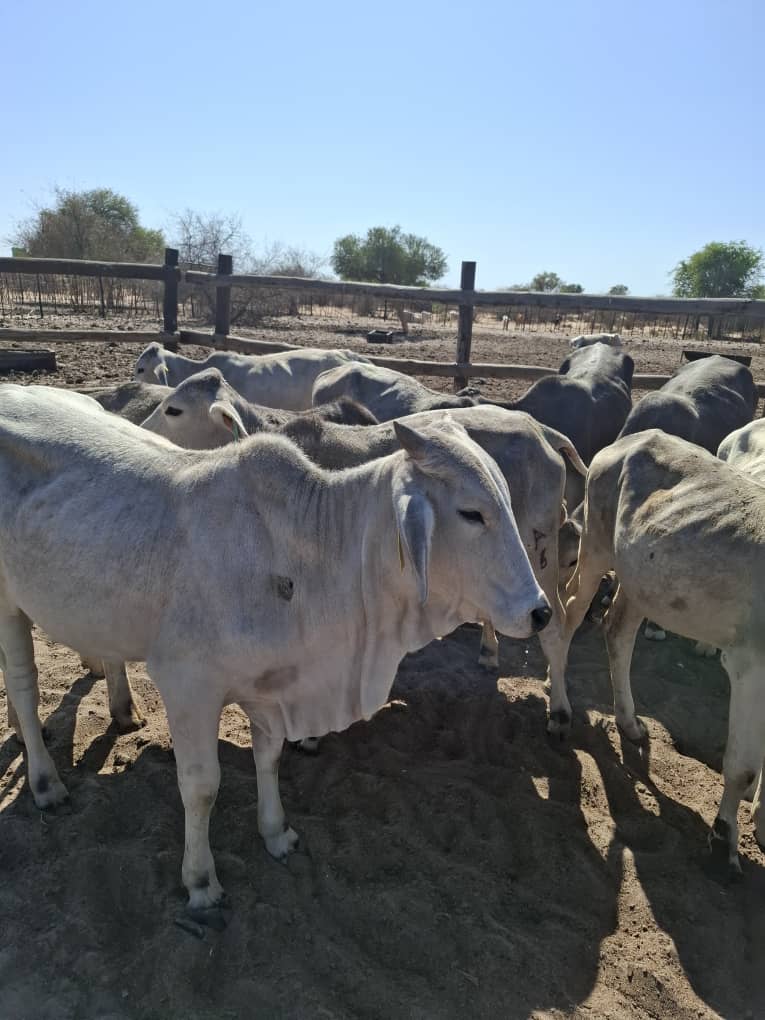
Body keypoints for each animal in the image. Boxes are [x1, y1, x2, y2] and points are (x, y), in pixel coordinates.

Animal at [0, 383, 550, 926]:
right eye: (472, 513)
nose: (540, 611)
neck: (310, 557)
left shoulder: (274, 684)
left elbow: (269, 757)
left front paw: (275, 832)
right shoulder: (187, 684)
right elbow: (201, 786)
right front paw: (201, 882)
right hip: (8, 602)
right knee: (25, 686)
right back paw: (45, 779)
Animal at [563, 426, 765, 873]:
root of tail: (627, 441)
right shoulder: (751, 666)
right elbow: (742, 767)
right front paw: (724, 840)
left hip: (642, 581)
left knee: (617, 630)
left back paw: (628, 722)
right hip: (595, 547)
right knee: (568, 615)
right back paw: (559, 709)